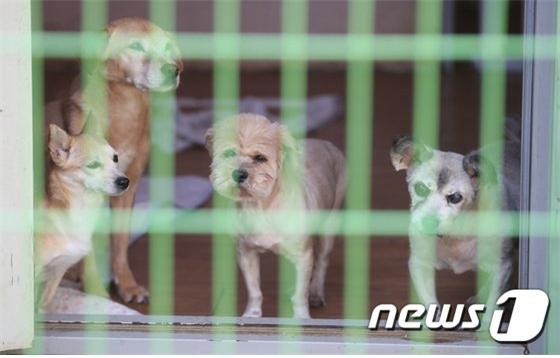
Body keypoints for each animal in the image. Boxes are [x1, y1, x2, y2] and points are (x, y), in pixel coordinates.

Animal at [45, 16, 184, 302]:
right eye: (136, 46)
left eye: (166, 46)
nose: (172, 70)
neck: (126, 107)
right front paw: (96, 291)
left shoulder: (127, 188)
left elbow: (120, 241)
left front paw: (127, 285)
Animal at [206, 113, 346, 318]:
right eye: (229, 154)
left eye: (260, 158)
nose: (238, 174)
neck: (259, 206)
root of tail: (325, 143)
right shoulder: (246, 252)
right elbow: (255, 290)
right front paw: (252, 315)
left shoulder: (303, 255)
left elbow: (300, 294)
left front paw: (302, 317)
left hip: (330, 225)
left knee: (321, 262)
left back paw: (315, 293)